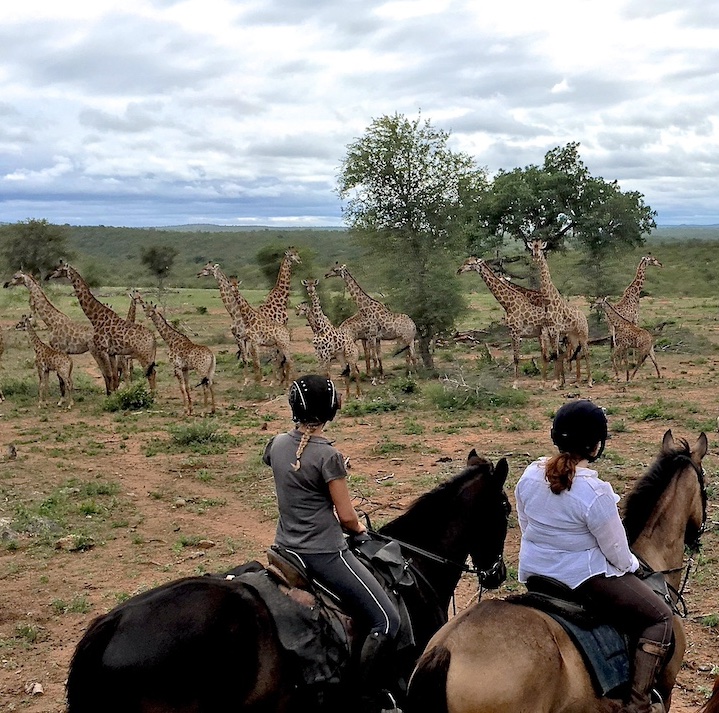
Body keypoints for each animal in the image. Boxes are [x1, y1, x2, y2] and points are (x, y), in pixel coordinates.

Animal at [46, 260, 158, 390]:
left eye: (58, 269)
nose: (48, 276)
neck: (95, 317)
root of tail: (153, 338)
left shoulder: (103, 350)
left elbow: (110, 376)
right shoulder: (112, 353)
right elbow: (114, 377)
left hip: (143, 354)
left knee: (151, 373)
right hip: (148, 355)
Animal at [458, 258, 556, 386]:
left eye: (470, 264)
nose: (459, 270)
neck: (509, 304)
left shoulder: (515, 332)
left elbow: (516, 358)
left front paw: (515, 383)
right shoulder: (514, 333)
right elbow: (517, 357)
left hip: (547, 333)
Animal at [524, 239, 592, 386]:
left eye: (541, 249)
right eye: (532, 248)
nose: (536, 256)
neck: (548, 300)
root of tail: (583, 316)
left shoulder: (555, 329)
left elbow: (555, 354)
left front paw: (555, 383)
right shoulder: (548, 330)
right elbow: (551, 354)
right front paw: (549, 383)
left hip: (583, 333)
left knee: (586, 352)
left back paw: (589, 381)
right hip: (573, 335)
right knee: (578, 353)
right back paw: (577, 381)